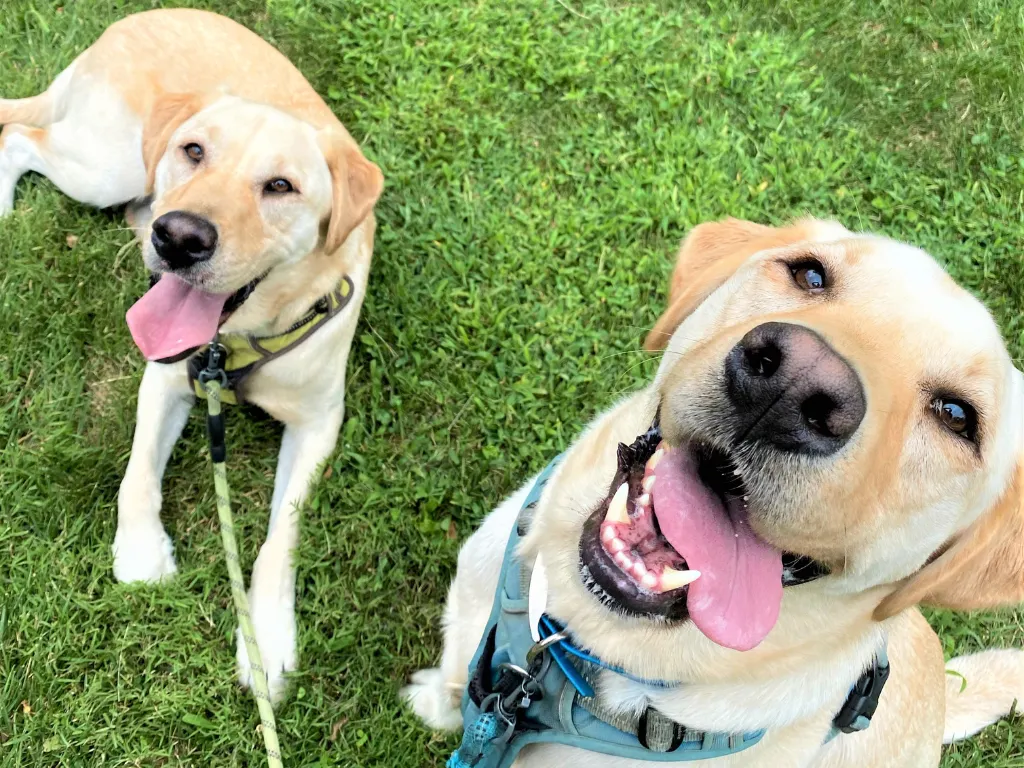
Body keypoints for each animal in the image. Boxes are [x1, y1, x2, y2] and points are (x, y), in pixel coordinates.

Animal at [0, 9, 383, 700]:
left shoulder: (318, 423)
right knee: (18, 136)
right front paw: (141, 554)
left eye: (281, 186)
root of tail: (128, 21)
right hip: (107, 165)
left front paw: (267, 639)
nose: (178, 237)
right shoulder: (165, 377)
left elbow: (280, 539)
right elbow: (137, 476)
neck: (239, 339)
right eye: (195, 151)